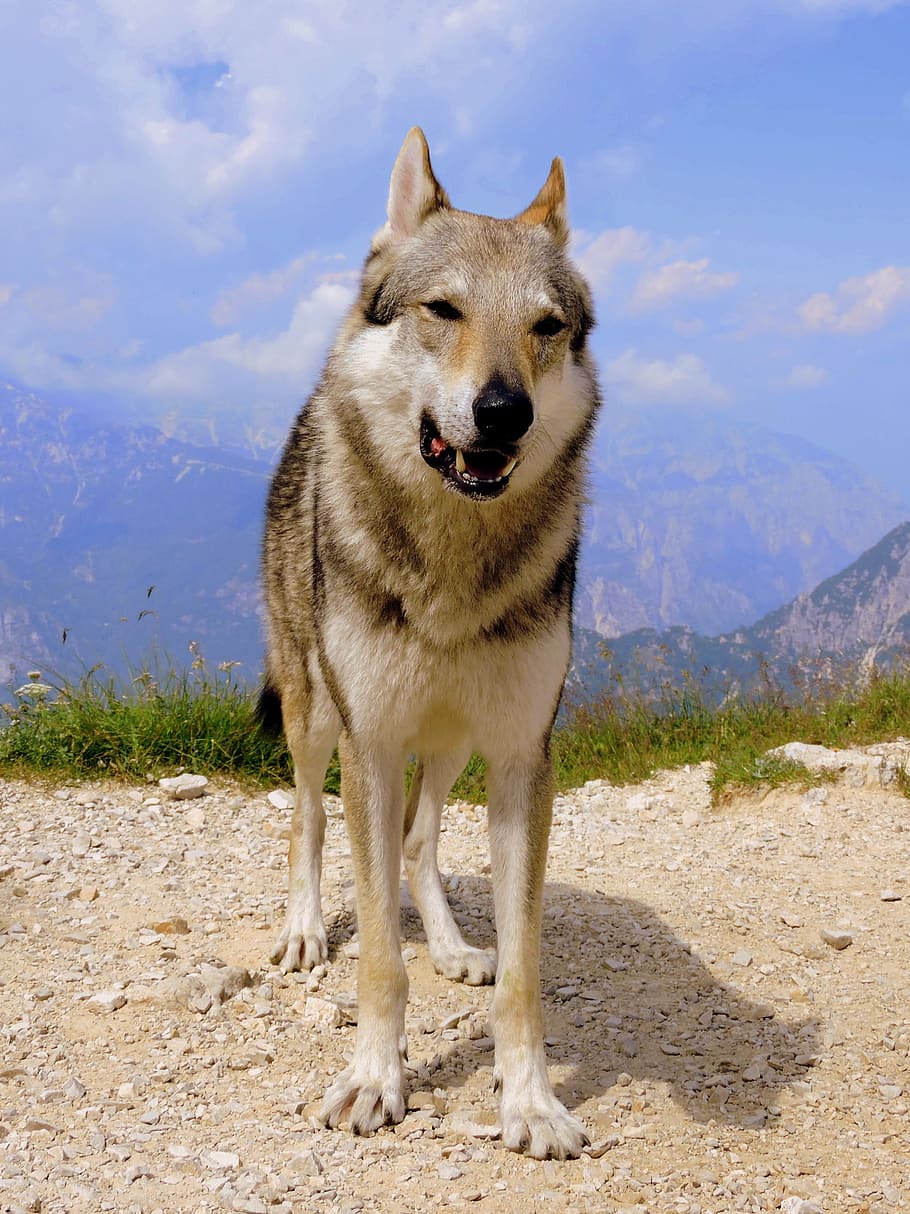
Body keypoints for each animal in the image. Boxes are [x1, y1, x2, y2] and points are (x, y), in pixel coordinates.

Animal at [258, 128, 599, 1160]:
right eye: (443, 311)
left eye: (545, 328)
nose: (503, 411)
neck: (453, 565)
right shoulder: (369, 741)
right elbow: (377, 955)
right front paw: (375, 1081)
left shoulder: (525, 752)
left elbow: (524, 974)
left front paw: (530, 1103)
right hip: (316, 715)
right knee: (309, 818)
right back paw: (302, 931)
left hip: (453, 742)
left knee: (418, 842)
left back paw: (450, 947)